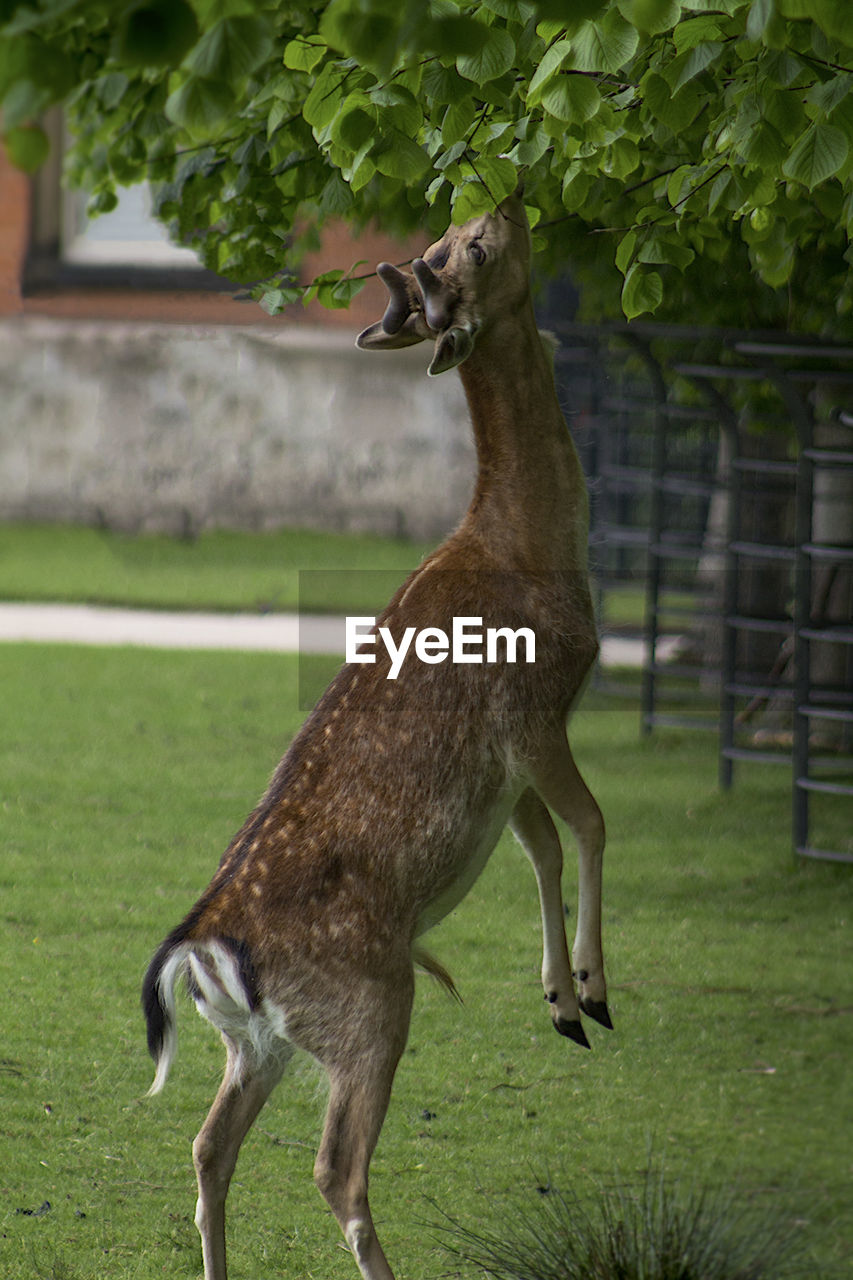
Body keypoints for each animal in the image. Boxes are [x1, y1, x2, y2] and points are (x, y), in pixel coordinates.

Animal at [140, 189, 604, 1280]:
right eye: (467, 245)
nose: (511, 194)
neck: (530, 545)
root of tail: (201, 946)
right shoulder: (535, 709)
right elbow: (591, 826)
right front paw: (595, 990)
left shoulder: (504, 768)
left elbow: (544, 847)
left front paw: (561, 1002)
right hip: (369, 1005)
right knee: (336, 1170)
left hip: (259, 1041)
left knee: (208, 1145)